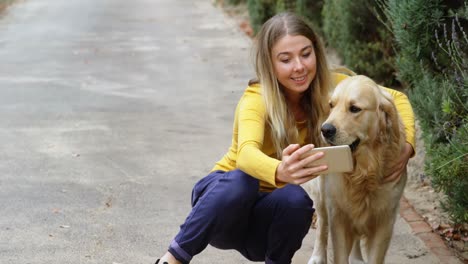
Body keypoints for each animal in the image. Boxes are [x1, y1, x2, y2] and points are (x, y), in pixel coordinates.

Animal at [306, 74, 408, 264]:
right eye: (331, 105)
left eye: (354, 109)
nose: (325, 129)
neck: (364, 171)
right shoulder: (338, 215)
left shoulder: (384, 221)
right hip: (322, 193)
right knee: (322, 222)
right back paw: (317, 256)